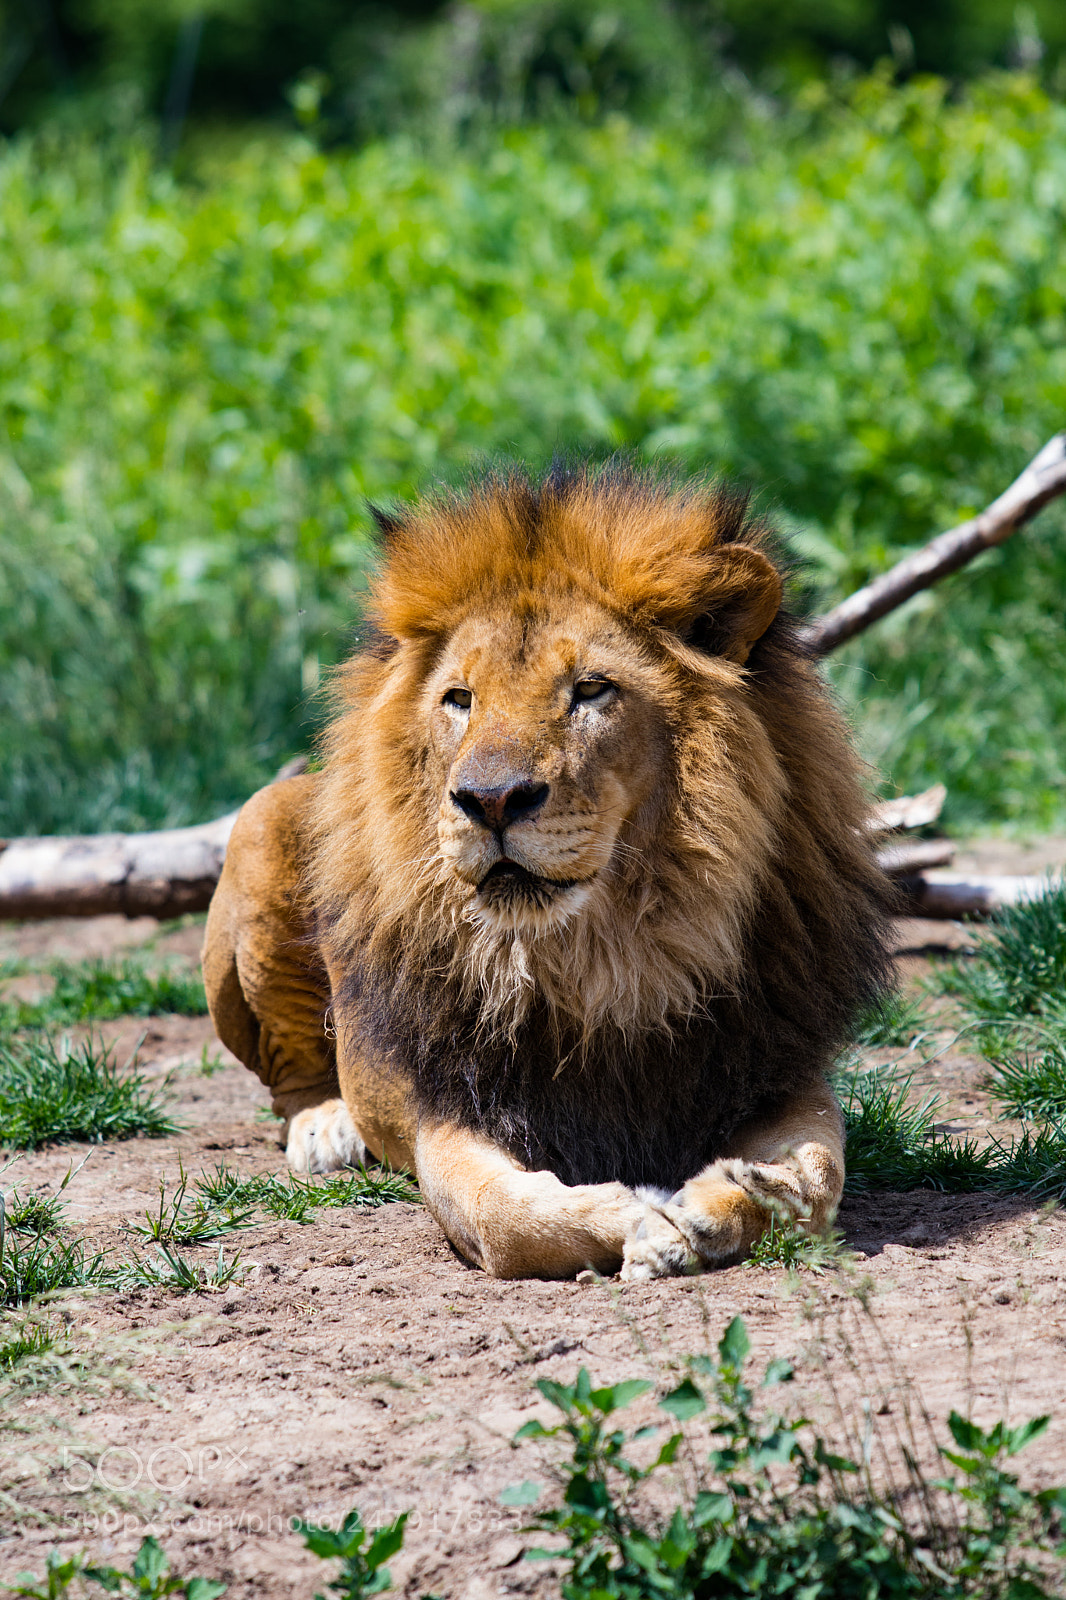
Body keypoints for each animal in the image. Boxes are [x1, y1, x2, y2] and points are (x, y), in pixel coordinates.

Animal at [203, 464, 892, 1280]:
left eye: (591, 689)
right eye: (460, 700)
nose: (490, 800)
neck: (605, 958)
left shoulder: (775, 1069)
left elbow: (819, 1179)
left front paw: (724, 1202)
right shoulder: (455, 1106)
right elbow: (503, 1215)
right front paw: (643, 1218)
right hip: (260, 822)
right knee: (291, 1077)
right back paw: (326, 1128)